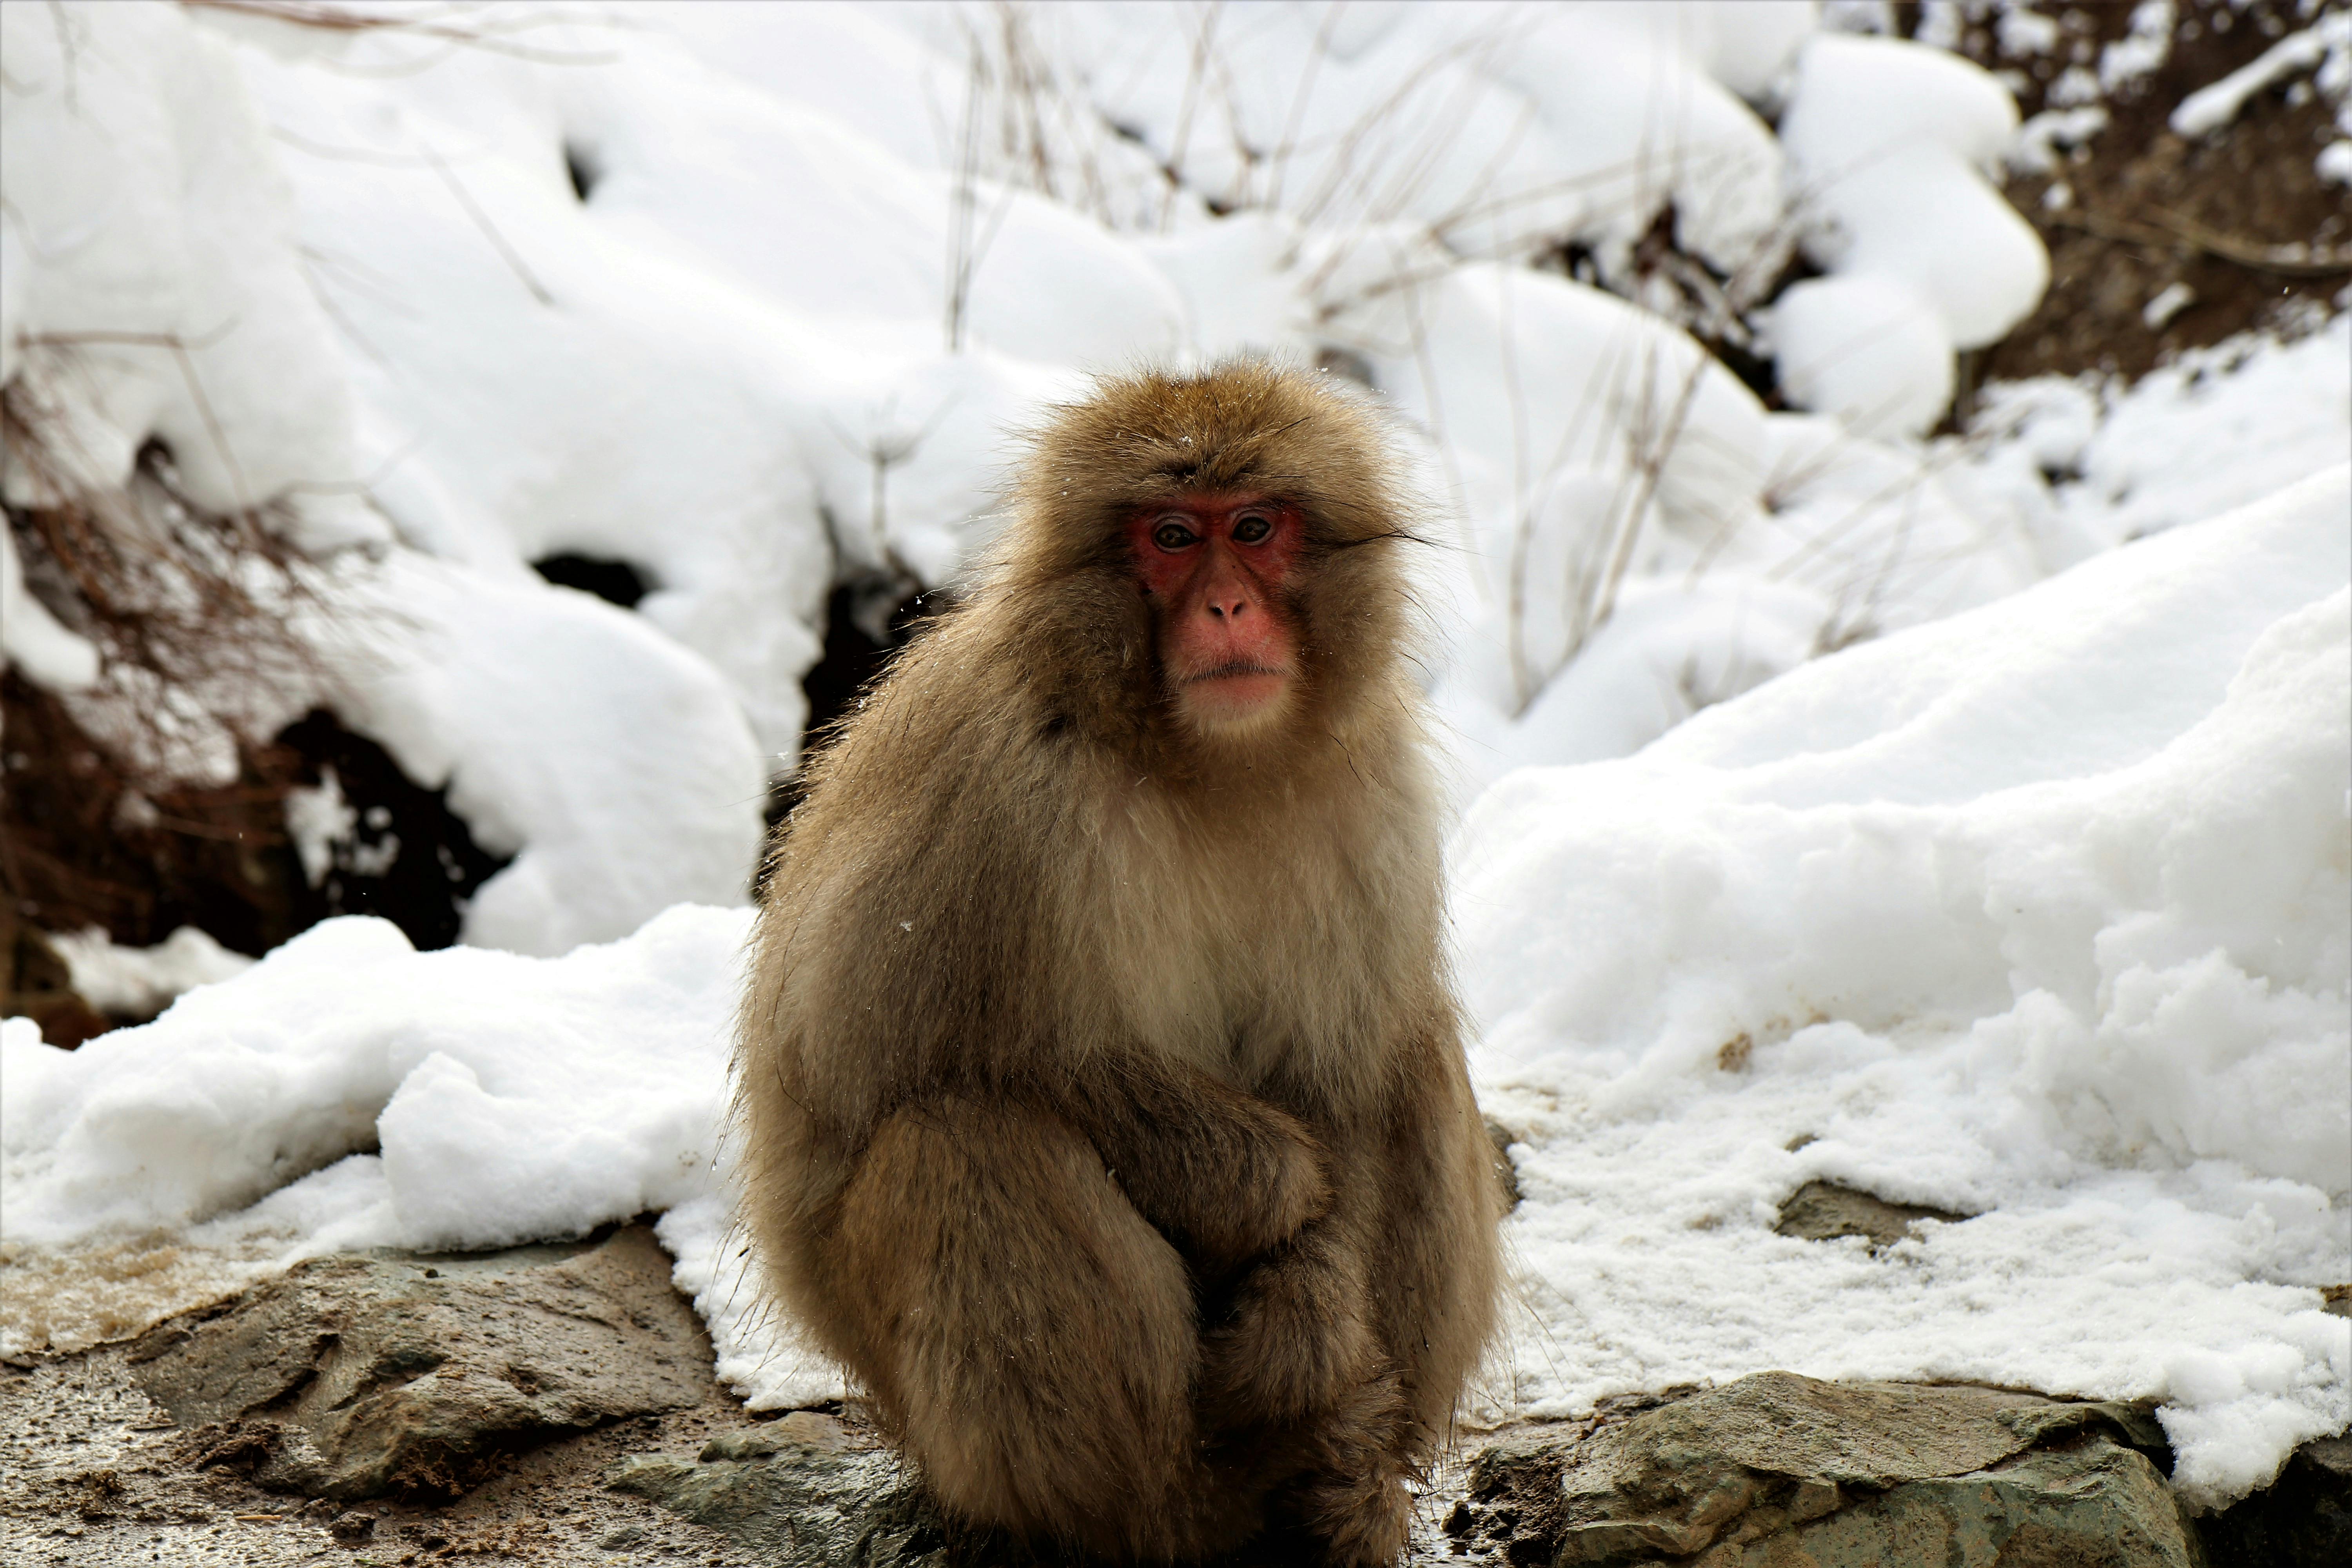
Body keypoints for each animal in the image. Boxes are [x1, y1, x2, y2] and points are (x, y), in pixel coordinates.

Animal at [739, 364, 1505, 1561]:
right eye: (1172, 538)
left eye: (1255, 529)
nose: (1227, 606)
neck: (1203, 760)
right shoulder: (1003, 793)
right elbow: (872, 1057)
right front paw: (1268, 1183)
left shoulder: (1371, 793)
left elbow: (1342, 1080)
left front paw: (1311, 1316)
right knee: (960, 1137)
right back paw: (1163, 1505)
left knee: (1416, 1055)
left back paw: (1345, 1478)